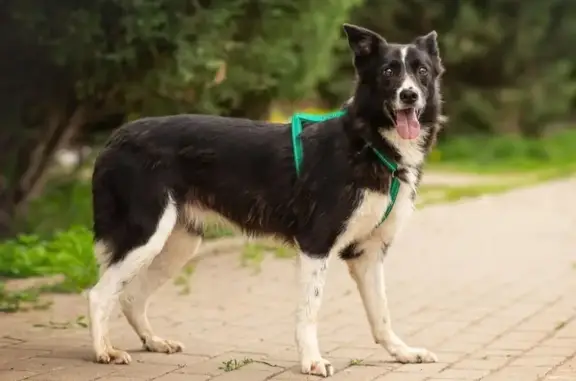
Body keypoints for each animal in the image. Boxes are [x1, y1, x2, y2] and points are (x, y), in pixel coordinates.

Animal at [88, 24, 446, 378]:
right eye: (388, 72)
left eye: (422, 72)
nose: (409, 95)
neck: (368, 143)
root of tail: (117, 136)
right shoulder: (316, 245)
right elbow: (310, 311)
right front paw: (311, 360)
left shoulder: (368, 253)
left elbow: (381, 313)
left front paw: (402, 352)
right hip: (147, 233)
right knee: (99, 294)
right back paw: (104, 350)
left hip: (178, 244)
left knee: (130, 295)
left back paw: (153, 341)